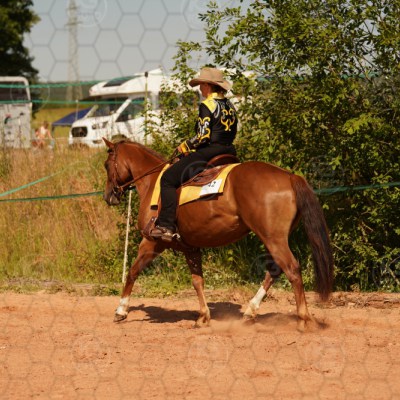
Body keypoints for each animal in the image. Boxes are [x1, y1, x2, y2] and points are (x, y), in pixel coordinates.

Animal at [102, 138, 334, 331]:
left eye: (106, 165)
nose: (108, 196)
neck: (153, 183)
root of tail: (289, 176)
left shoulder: (152, 242)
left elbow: (132, 271)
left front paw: (121, 310)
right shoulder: (190, 247)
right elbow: (197, 281)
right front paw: (203, 317)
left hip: (273, 239)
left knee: (292, 269)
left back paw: (303, 319)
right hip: (274, 239)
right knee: (275, 270)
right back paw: (250, 312)